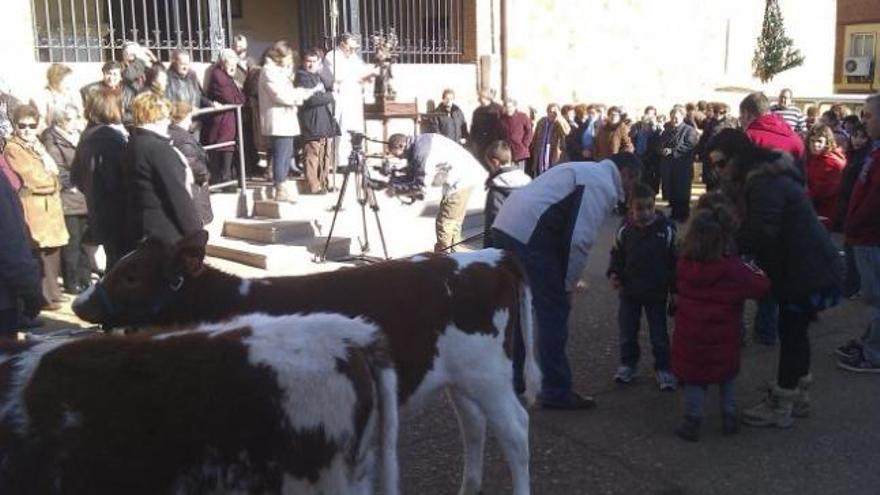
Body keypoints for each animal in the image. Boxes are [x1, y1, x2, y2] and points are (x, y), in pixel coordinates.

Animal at [75, 232, 540, 495]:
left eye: (132, 275)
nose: (80, 303)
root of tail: (491, 257)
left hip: (489, 375)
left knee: (516, 431)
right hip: (460, 377)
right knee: (475, 426)